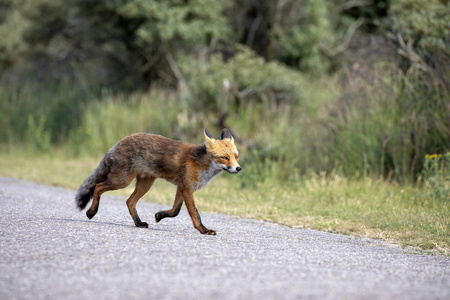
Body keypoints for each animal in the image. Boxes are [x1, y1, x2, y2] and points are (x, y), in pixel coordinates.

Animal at [75, 127, 241, 236]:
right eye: (224, 157)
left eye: (236, 156)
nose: (238, 168)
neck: (202, 163)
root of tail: (119, 141)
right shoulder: (187, 188)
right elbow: (195, 213)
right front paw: (204, 230)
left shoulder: (182, 187)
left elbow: (175, 211)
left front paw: (159, 215)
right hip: (122, 181)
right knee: (98, 187)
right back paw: (91, 212)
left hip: (145, 185)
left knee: (129, 202)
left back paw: (139, 223)